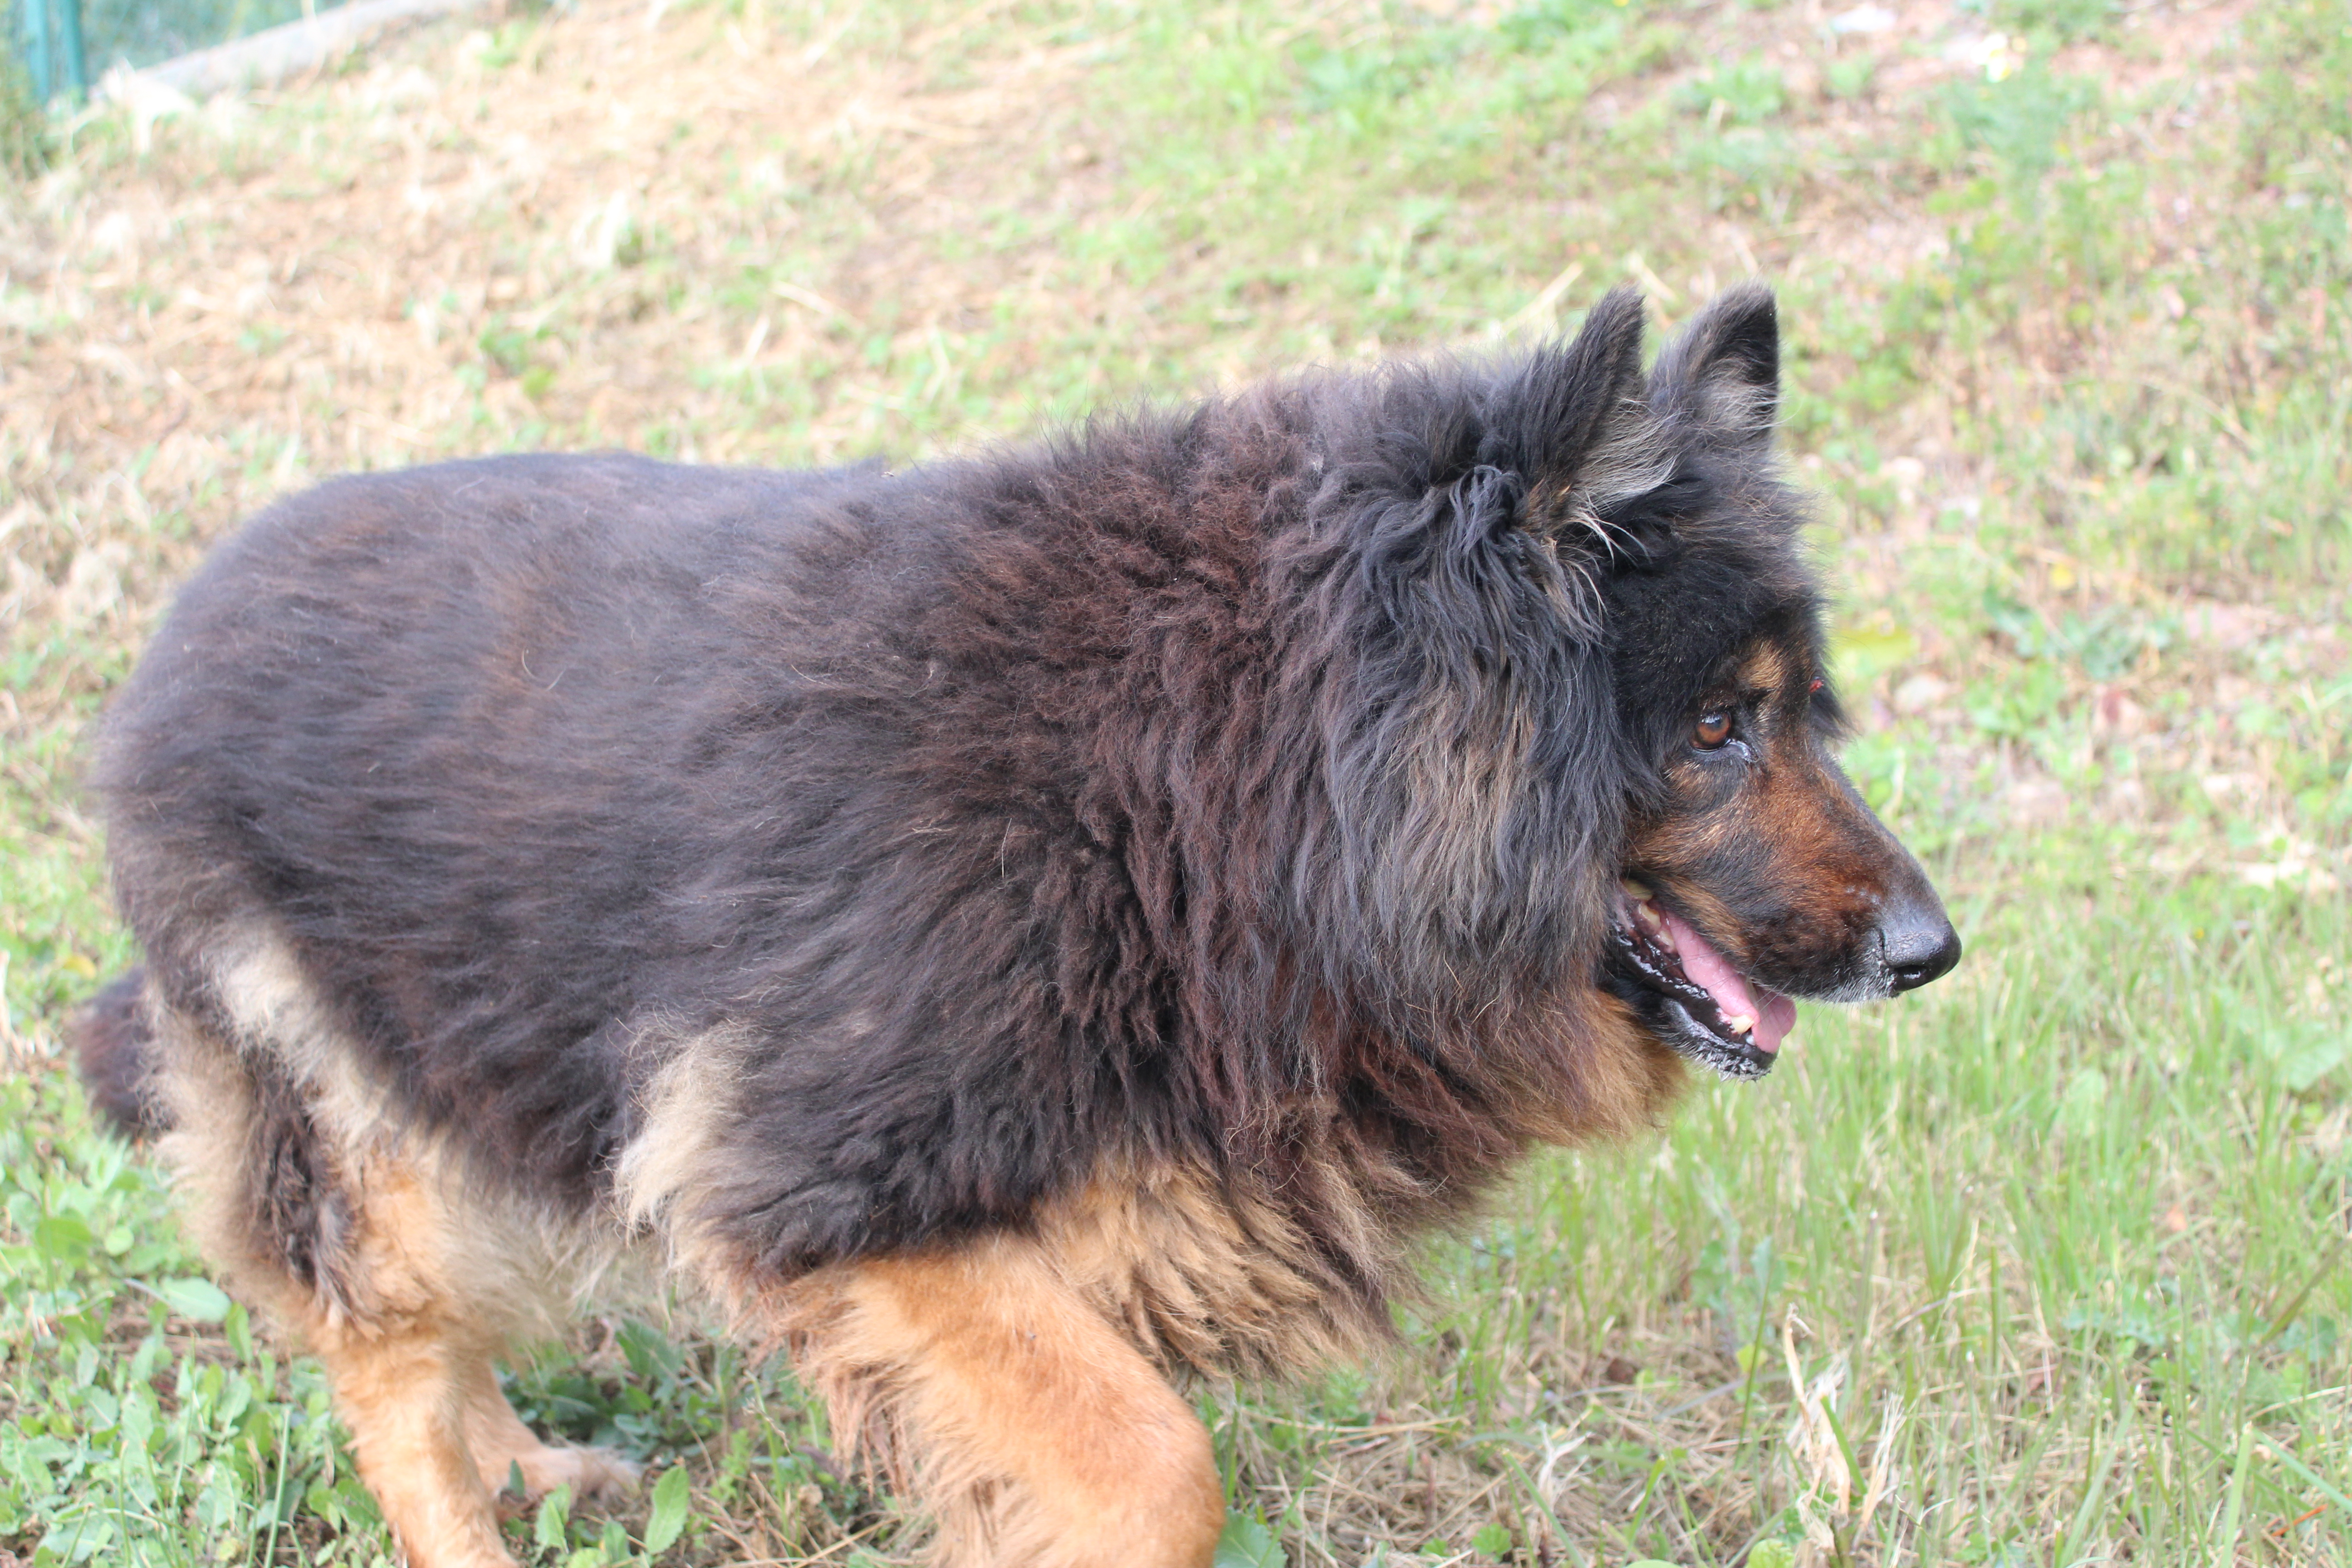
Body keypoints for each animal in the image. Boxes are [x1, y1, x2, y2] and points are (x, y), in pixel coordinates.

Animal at [74, 285, 1957, 1568]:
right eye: (1714, 731)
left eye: (1798, 712)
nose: (1933, 952)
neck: (1226, 756)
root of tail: (172, 632)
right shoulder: (842, 1200)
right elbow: (1156, 1464)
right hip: (351, 1100)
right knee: (386, 1365)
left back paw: (523, 1464)